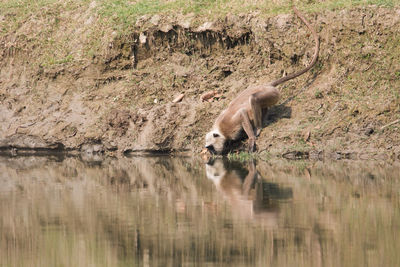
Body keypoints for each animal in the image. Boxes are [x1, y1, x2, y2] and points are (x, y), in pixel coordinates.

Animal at [205, 6, 320, 155]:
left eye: (211, 147)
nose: (212, 153)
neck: (220, 131)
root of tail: (267, 85)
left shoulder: (229, 126)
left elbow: (242, 114)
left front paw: (251, 138)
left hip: (272, 94)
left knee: (253, 99)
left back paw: (258, 127)